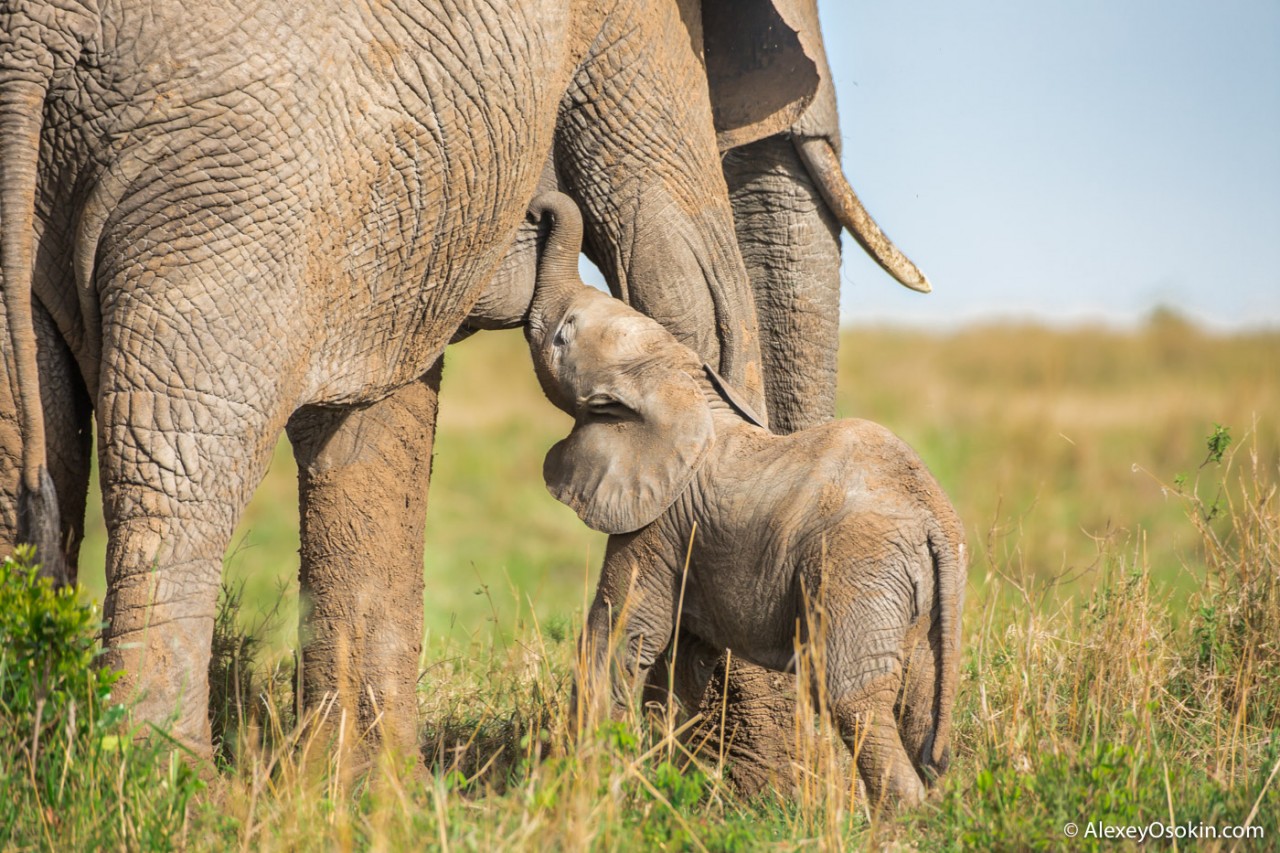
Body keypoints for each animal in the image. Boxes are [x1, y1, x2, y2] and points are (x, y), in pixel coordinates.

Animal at [524, 190, 962, 804]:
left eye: (562, 335)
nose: (538, 209)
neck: (678, 382)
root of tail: (933, 522)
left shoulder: (658, 521)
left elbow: (622, 634)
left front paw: (577, 785)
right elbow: (684, 658)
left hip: (857, 567)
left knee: (853, 699)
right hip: (929, 596)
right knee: (921, 703)